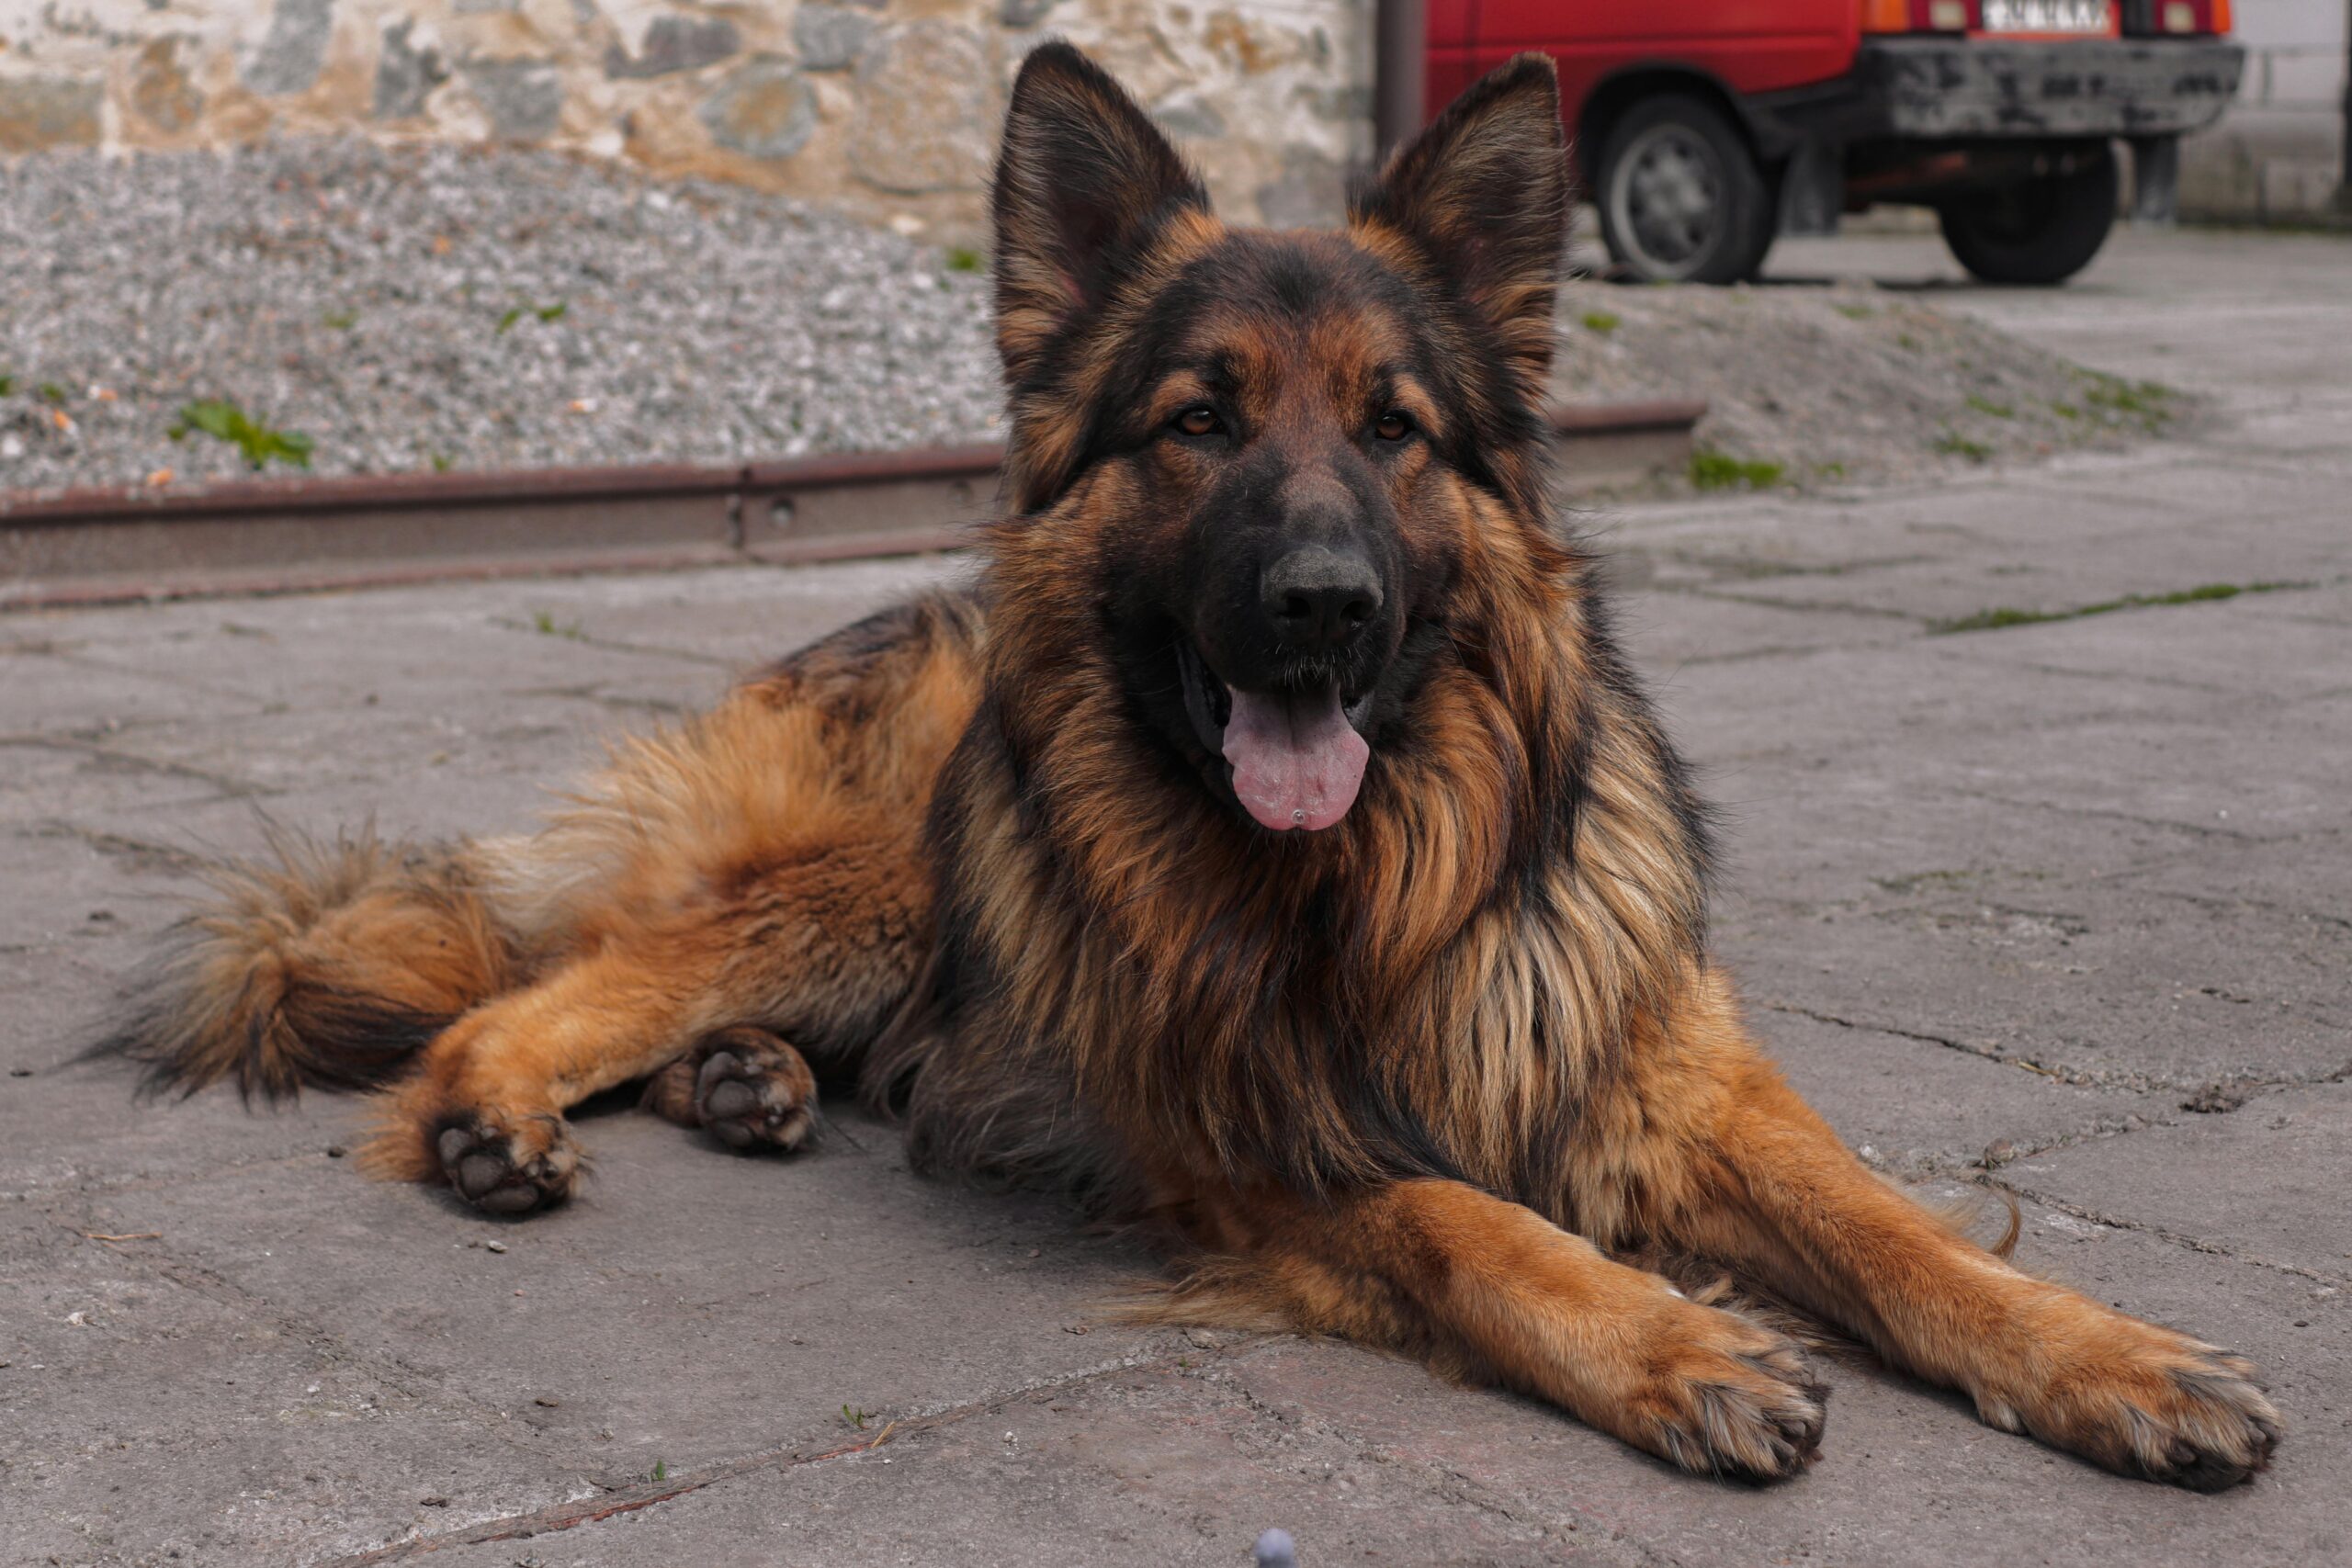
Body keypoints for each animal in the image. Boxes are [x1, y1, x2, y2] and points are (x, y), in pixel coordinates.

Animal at [106, 42, 2277, 1495]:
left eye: (1395, 429)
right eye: (1198, 421)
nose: (1317, 606)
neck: (1357, 883)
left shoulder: (1658, 1056)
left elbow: (1897, 1227)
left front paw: (2108, 1355)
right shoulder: (1241, 1139)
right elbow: (1467, 1219)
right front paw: (1672, 1335)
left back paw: (754, 1083)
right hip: (888, 867)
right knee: (560, 984)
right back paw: (504, 1110)